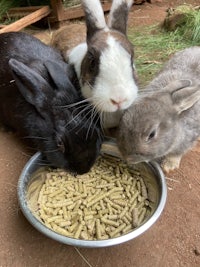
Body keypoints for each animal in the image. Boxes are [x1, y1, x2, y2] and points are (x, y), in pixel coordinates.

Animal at [115, 46, 200, 174]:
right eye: (122, 120)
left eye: (152, 134)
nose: (128, 158)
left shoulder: (189, 137)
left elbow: (177, 153)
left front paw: (169, 166)